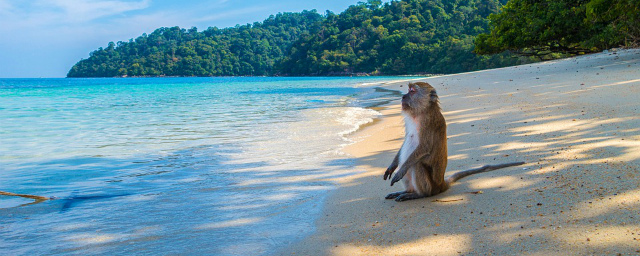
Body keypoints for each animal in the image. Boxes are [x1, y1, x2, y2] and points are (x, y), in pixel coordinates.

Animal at [382, 82, 524, 202]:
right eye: (408, 90)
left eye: (412, 91)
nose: (403, 96)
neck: (421, 111)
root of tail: (441, 184)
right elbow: (406, 142)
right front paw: (392, 167)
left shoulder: (428, 122)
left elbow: (424, 148)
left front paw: (400, 171)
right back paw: (406, 191)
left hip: (431, 186)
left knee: (416, 164)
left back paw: (418, 194)